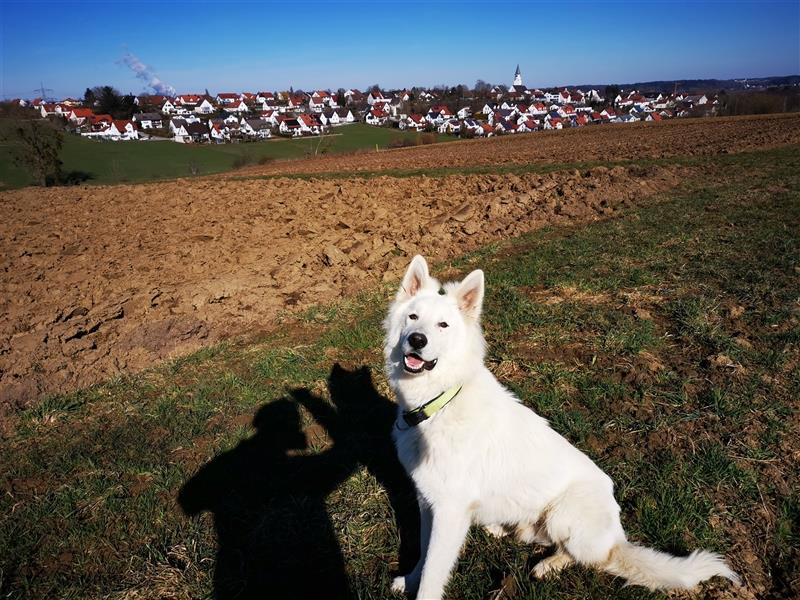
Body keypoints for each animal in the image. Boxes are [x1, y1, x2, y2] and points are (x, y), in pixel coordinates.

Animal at [384, 256, 740, 600]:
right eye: (413, 317)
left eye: (443, 325)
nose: (417, 340)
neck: (438, 403)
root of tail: (617, 536)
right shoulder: (429, 502)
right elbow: (423, 554)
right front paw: (410, 579)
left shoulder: (449, 510)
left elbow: (433, 573)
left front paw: (421, 587)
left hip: (565, 513)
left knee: (593, 558)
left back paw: (550, 564)